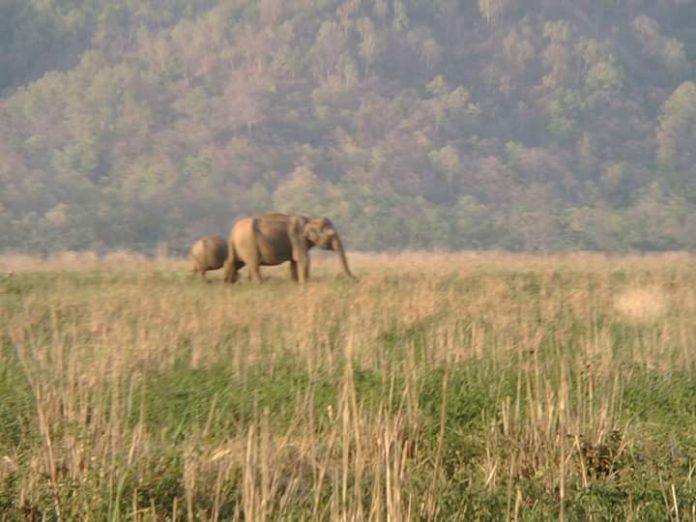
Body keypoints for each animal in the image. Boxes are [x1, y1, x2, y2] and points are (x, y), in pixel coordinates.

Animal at [223, 212, 354, 284]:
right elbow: (303, 260)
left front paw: (296, 283)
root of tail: (233, 230)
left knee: (232, 262)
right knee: (253, 264)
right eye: (332, 234)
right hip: (248, 244)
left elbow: (294, 263)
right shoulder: (298, 237)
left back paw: (228, 284)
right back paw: (260, 284)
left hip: (237, 246)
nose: (354, 279)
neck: (310, 219)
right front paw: (304, 283)